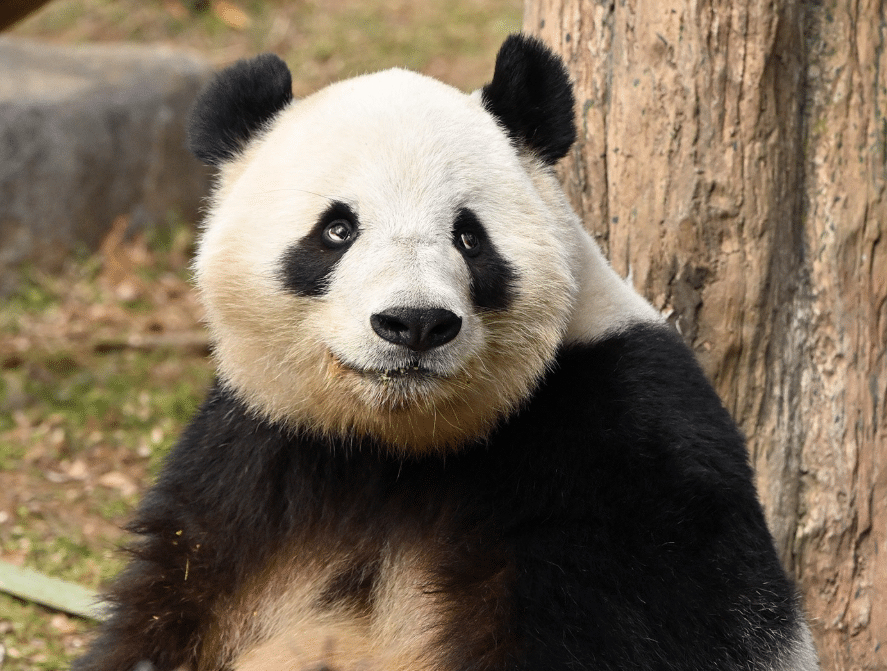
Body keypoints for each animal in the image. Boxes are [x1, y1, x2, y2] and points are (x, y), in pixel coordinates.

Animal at [74, 34, 819, 671]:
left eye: (468, 236)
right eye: (337, 229)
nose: (415, 323)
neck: (398, 447)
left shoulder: (627, 458)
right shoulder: (256, 458)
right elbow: (165, 612)